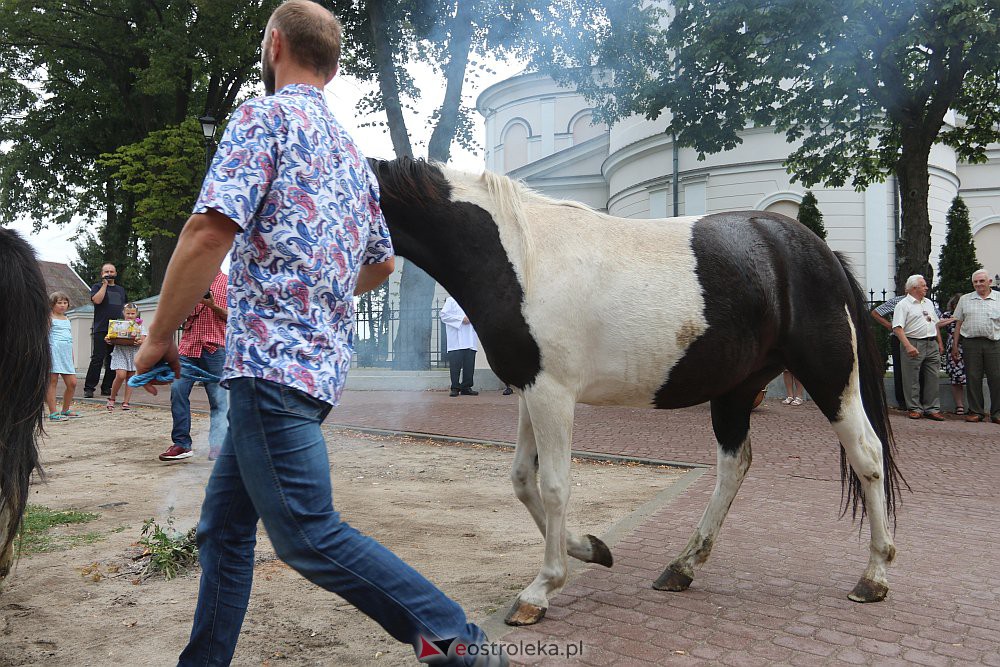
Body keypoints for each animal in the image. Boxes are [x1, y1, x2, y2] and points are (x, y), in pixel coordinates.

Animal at [368, 157, 908, 628]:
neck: (523, 258)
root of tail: (822, 253)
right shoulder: (530, 390)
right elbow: (522, 479)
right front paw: (590, 548)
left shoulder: (553, 394)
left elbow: (554, 485)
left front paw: (542, 589)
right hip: (736, 391)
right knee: (734, 466)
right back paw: (682, 566)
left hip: (829, 379)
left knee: (867, 456)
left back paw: (875, 575)